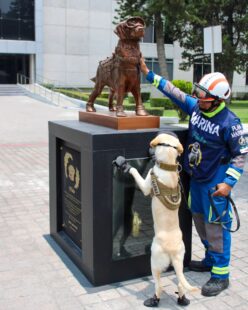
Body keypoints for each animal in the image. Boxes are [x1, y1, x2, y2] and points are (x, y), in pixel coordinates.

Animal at [114, 133, 198, 308]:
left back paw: (153, 300)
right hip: (180, 260)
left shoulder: (146, 185)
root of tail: (173, 252)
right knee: (180, 283)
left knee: (159, 285)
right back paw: (182, 299)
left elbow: (136, 173)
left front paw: (126, 166)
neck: (168, 166)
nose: (149, 149)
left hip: (154, 262)